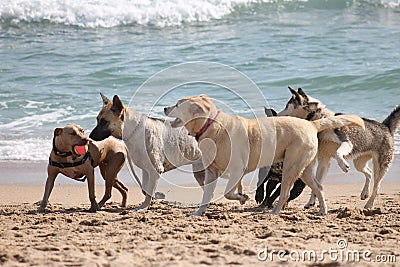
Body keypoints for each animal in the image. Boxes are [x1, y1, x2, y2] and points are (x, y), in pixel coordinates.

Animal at [164, 95, 364, 217]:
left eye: (177, 104)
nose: (165, 107)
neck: (211, 125)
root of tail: (311, 125)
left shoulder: (237, 169)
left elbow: (229, 192)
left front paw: (242, 198)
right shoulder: (212, 172)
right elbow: (207, 195)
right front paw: (198, 213)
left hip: (291, 167)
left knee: (284, 193)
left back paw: (274, 212)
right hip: (304, 169)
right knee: (319, 187)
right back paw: (323, 210)